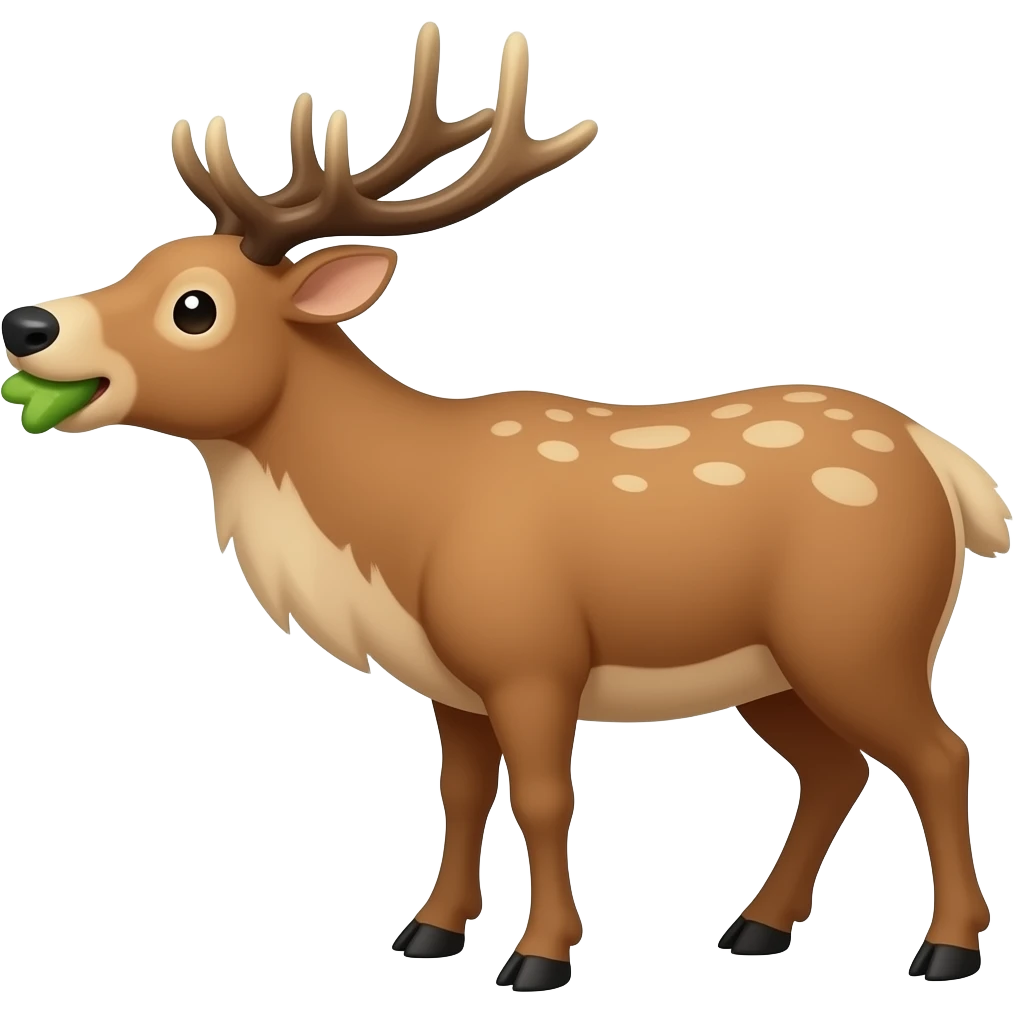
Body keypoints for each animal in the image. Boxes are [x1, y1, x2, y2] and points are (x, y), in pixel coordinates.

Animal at [1, 23, 1008, 994]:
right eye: (145, 261)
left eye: (195, 307)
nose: (26, 324)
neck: (397, 525)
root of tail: (945, 466)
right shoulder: (450, 679)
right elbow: (460, 792)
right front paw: (429, 933)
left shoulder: (531, 652)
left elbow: (542, 797)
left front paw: (541, 957)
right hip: (774, 667)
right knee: (837, 769)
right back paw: (756, 929)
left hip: (860, 630)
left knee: (939, 755)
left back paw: (947, 949)